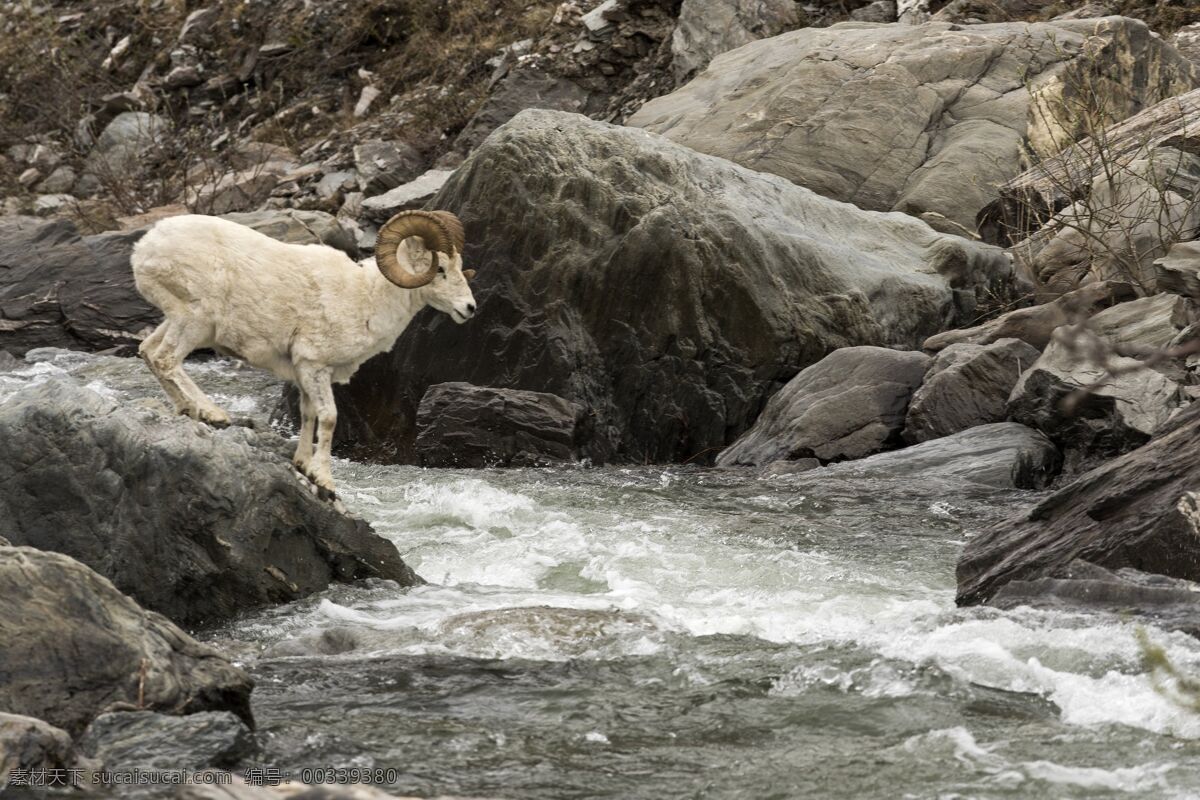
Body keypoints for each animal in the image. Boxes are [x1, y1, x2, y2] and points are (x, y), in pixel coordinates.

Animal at [133, 209, 475, 491]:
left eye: (459, 266)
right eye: (440, 269)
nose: (469, 309)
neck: (366, 298)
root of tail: (144, 248)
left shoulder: (304, 374)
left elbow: (308, 415)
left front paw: (303, 466)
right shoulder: (315, 366)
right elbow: (328, 418)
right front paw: (324, 479)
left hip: (178, 320)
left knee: (148, 351)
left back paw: (189, 410)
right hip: (196, 321)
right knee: (166, 359)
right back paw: (213, 413)